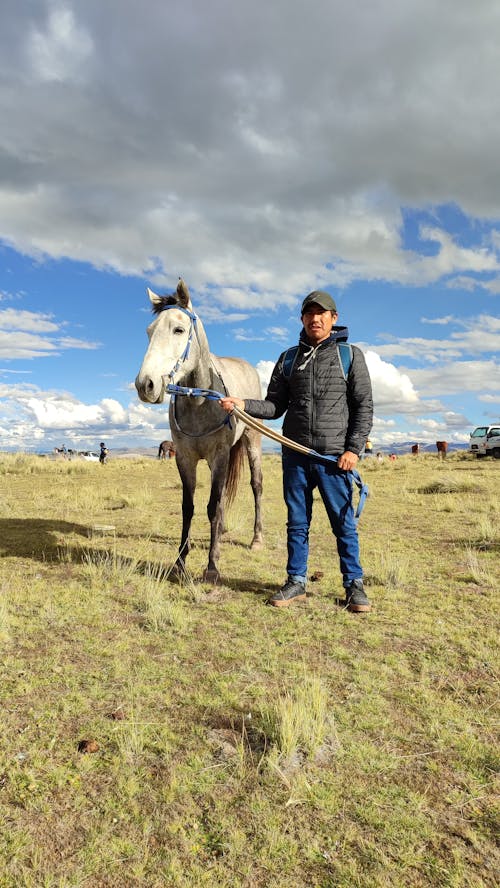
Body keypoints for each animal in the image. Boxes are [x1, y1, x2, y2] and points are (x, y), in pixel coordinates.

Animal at [135, 278, 264, 584]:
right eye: (149, 332)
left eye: (179, 329)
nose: (145, 384)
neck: (200, 399)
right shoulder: (185, 457)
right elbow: (189, 507)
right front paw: (180, 562)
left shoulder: (220, 456)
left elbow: (212, 507)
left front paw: (212, 566)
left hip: (252, 442)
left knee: (256, 485)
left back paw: (256, 539)